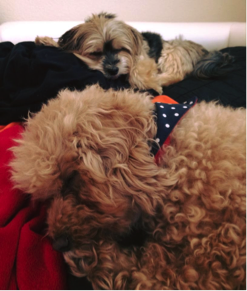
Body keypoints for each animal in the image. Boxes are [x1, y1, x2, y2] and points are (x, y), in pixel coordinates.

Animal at [10, 85, 247, 290]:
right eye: (46, 197)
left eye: (70, 178)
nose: (59, 244)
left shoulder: (207, 264)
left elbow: (139, 276)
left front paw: (88, 257)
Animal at [35, 12, 233, 94]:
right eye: (96, 53)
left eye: (120, 49)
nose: (113, 70)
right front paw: (47, 40)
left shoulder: (143, 59)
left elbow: (136, 73)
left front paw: (152, 83)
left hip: (171, 51)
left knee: (177, 74)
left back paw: (161, 79)